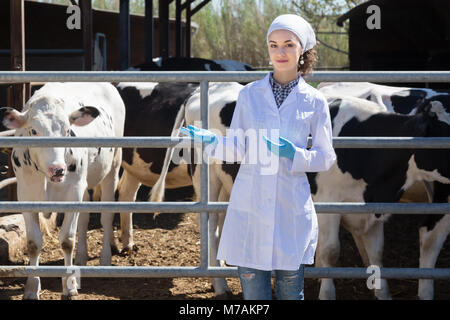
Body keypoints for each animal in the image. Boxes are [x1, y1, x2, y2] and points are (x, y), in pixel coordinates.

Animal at [0, 81, 125, 298]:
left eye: (67, 131)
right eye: (34, 131)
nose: (58, 169)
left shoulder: (73, 194)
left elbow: (67, 240)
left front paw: (69, 285)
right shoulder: (26, 195)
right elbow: (33, 244)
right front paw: (32, 288)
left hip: (112, 169)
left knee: (106, 216)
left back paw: (105, 260)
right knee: (84, 220)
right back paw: (81, 261)